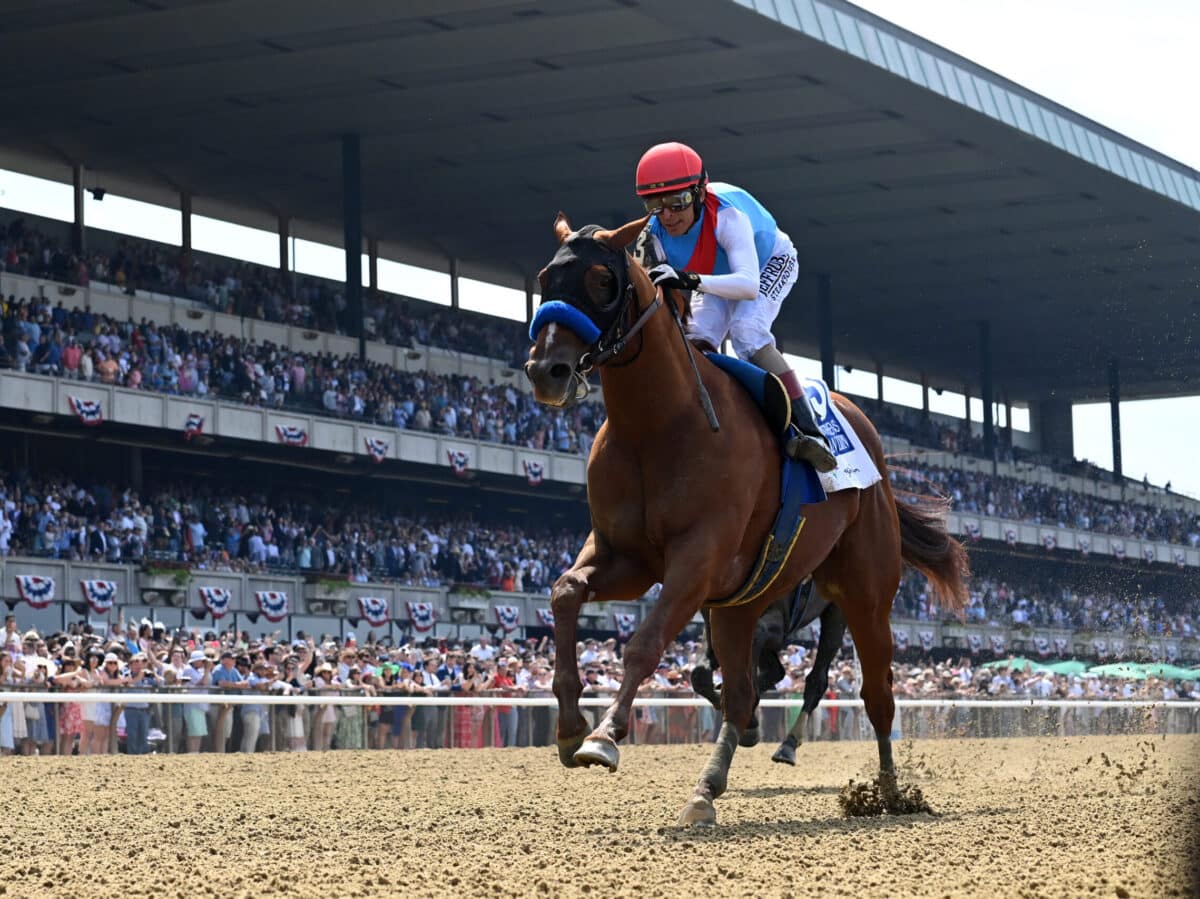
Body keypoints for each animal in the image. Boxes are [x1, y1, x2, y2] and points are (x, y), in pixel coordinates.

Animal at [525, 213, 964, 825]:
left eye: (601, 280)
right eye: (545, 278)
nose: (548, 370)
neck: (658, 424)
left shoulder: (697, 558)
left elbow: (645, 643)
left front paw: (605, 736)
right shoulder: (626, 557)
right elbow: (566, 592)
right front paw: (569, 727)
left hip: (863, 596)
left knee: (872, 693)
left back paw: (886, 794)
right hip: (740, 604)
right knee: (738, 691)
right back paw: (706, 788)